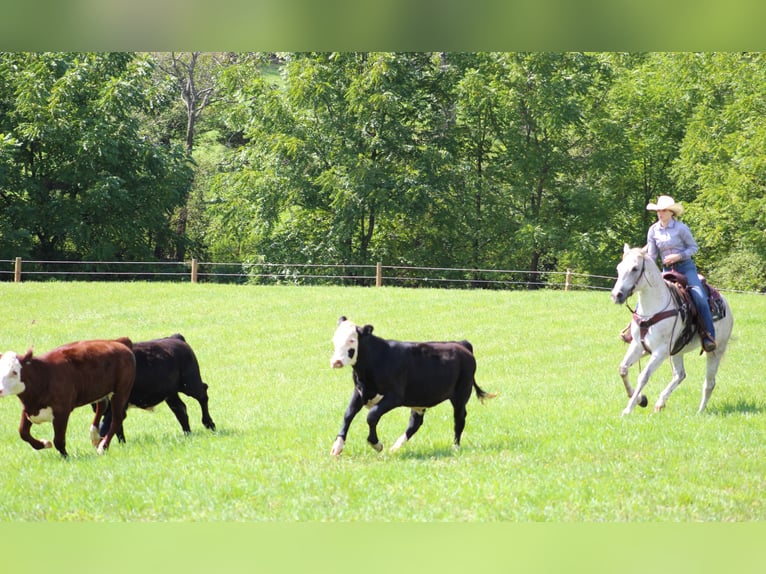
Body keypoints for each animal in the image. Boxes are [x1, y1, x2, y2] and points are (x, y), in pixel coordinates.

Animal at [0, 342, 135, 460]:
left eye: (14, 372)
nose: (0, 390)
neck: (43, 376)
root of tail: (121, 345)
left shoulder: (62, 411)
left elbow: (58, 440)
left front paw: (66, 457)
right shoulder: (28, 409)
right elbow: (23, 432)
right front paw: (44, 444)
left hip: (121, 390)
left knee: (117, 418)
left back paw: (103, 447)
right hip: (100, 391)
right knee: (101, 407)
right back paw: (95, 436)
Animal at [330, 318, 498, 456]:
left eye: (352, 340)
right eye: (334, 339)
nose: (336, 362)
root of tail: (461, 344)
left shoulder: (394, 396)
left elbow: (372, 415)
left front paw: (376, 444)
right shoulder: (359, 392)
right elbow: (348, 414)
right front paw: (337, 446)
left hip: (461, 394)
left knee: (459, 419)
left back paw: (455, 447)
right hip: (420, 400)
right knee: (415, 423)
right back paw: (395, 448)